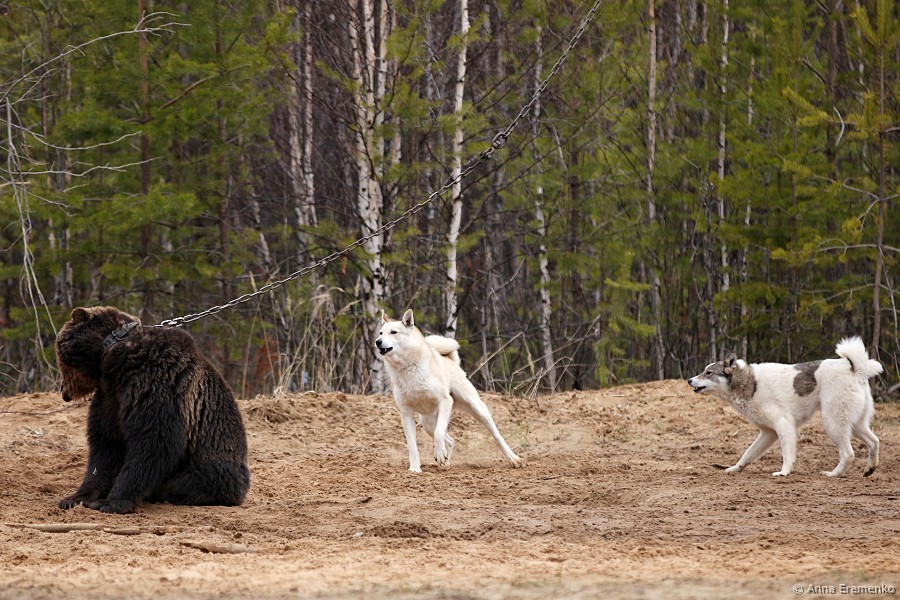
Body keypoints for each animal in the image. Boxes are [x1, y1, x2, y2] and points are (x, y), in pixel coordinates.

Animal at [56, 306, 250, 513]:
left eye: (60, 360)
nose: (63, 391)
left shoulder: (153, 384)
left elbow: (154, 441)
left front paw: (111, 502)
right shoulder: (111, 397)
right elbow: (106, 444)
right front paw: (75, 498)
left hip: (211, 469)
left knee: (182, 483)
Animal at [376, 309, 522, 473]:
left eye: (393, 332)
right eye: (381, 333)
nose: (377, 341)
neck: (407, 368)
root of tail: (452, 362)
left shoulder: (445, 401)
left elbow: (439, 433)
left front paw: (439, 454)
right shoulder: (406, 412)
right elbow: (412, 446)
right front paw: (415, 469)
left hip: (477, 410)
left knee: (496, 435)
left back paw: (513, 459)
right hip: (427, 423)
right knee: (450, 441)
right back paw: (446, 463)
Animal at [687, 337, 881, 477]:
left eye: (708, 373)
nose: (689, 380)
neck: (750, 383)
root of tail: (855, 369)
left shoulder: (784, 425)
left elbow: (787, 454)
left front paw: (784, 472)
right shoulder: (768, 433)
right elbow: (748, 454)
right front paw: (735, 468)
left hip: (833, 423)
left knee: (848, 453)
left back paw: (833, 474)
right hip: (856, 425)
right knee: (874, 441)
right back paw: (869, 469)